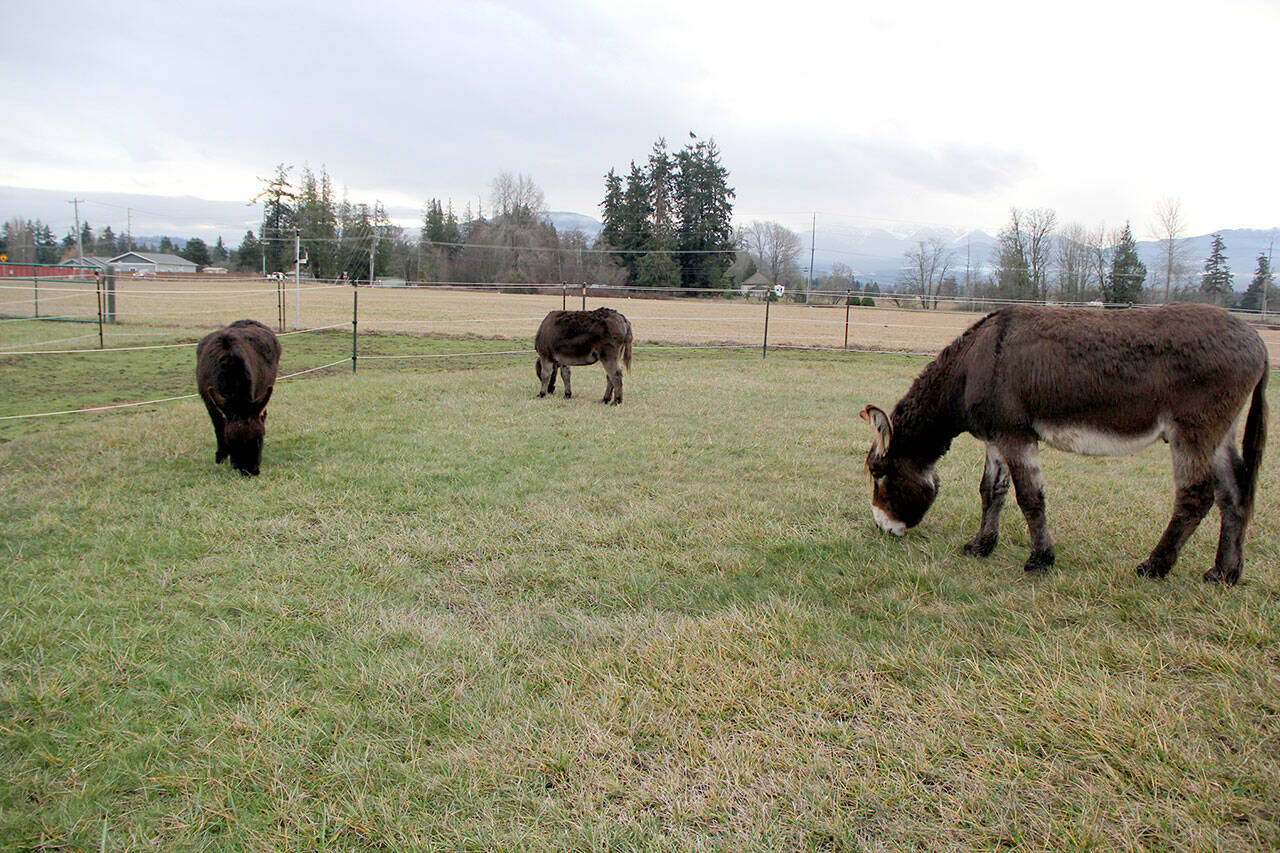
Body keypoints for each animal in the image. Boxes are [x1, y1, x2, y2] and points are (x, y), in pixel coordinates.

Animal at [196, 319, 281, 476]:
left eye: (260, 439)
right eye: (231, 440)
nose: (250, 471)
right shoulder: (209, 401)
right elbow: (218, 427)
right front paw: (221, 456)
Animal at [859, 303, 1268, 584]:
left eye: (879, 473)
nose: (883, 528)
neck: (971, 367)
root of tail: (1258, 342)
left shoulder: (1016, 434)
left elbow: (1030, 498)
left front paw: (1040, 560)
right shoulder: (996, 437)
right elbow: (991, 491)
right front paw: (980, 547)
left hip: (1192, 430)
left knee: (1195, 496)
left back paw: (1155, 566)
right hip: (1220, 433)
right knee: (1233, 496)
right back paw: (1224, 574)